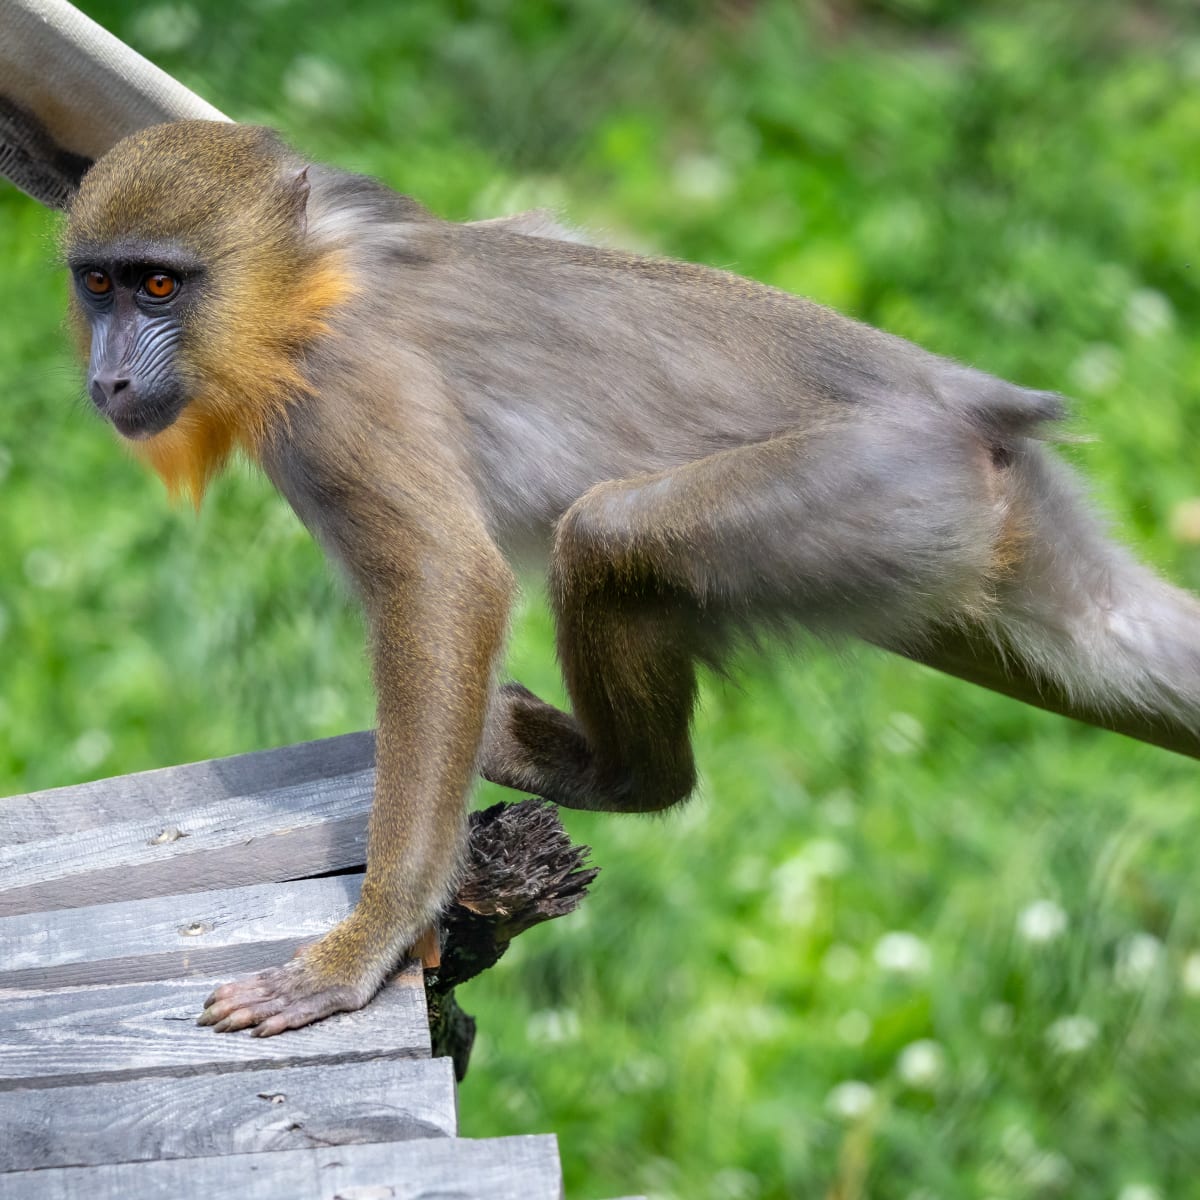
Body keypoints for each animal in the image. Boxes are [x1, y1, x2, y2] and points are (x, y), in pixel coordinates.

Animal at [63, 120, 1200, 1036]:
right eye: (98, 283)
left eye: (159, 284)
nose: (107, 377)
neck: (307, 283)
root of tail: (987, 429)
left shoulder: (341, 391)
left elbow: (448, 583)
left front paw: (369, 943)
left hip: (890, 496)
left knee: (609, 537)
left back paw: (627, 778)